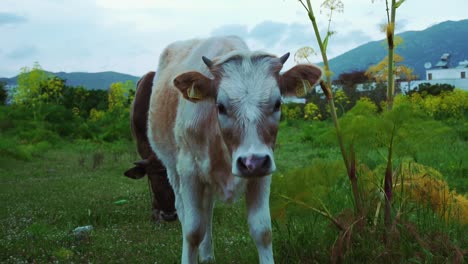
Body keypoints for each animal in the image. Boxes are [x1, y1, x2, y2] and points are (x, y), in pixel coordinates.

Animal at [147, 35, 322, 264]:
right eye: (220, 106)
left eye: (277, 103)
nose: (252, 163)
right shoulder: (189, 171)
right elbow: (192, 231)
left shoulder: (263, 171)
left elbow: (262, 231)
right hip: (172, 169)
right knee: (185, 212)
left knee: (208, 211)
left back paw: (208, 256)